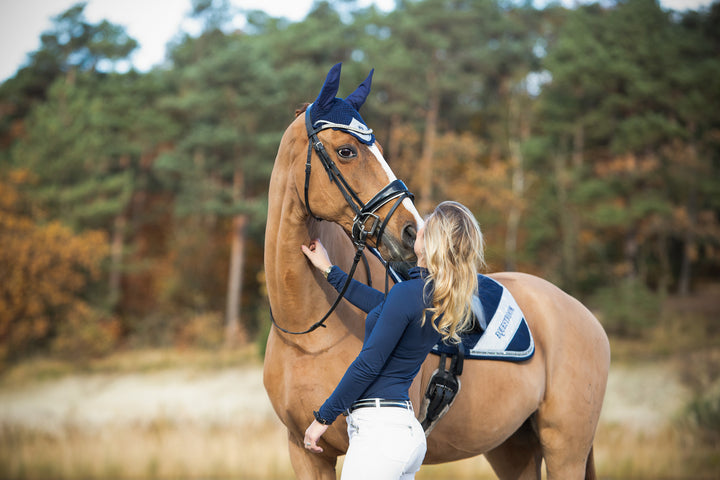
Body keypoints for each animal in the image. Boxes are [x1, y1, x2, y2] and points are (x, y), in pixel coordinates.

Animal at [262, 63, 612, 480]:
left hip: (566, 451)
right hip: (513, 448)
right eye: (346, 151)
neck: (309, 334)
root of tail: (583, 315)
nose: (412, 231)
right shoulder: (306, 453)